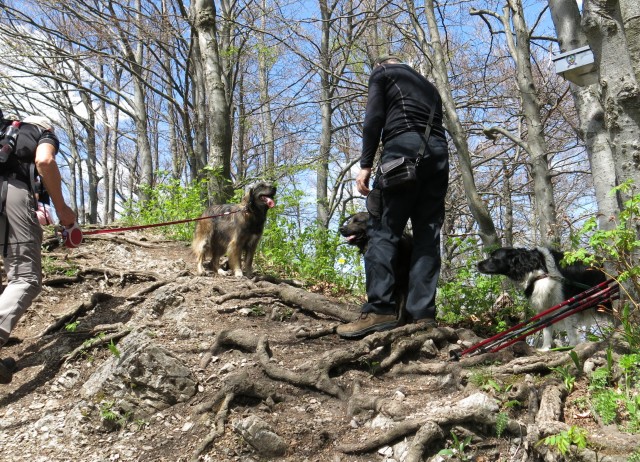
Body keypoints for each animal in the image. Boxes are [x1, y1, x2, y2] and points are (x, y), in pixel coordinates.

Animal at [480, 247, 608, 348]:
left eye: (493, 257)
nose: (477, 264)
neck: (538, 270)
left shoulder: (566, 304)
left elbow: (571, 331)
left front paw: (572, 347)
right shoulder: (545, 307)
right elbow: (547, 329)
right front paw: (545, 349)